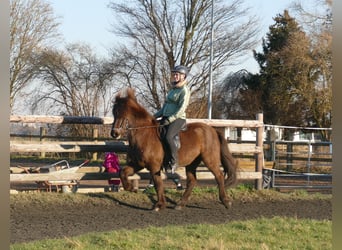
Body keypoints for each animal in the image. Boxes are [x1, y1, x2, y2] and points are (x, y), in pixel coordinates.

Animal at [110, 88, 238, 211]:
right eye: (114, 113)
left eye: (123, 113)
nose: (114, 133)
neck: (144, 134)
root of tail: (213, 130)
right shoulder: (138, 164)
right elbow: (123, 172)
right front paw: (131, 188)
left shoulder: (154, 166)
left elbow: (158, 184)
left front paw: (159, 205)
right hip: (192, 163)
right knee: (192, 181)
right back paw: (180, 204)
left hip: (209, 159)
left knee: (219, 176)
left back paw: (226, 201)